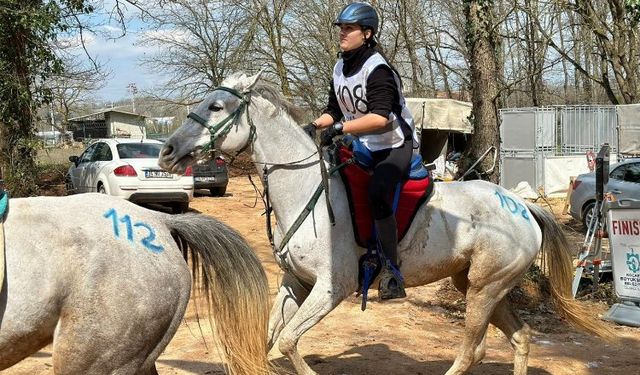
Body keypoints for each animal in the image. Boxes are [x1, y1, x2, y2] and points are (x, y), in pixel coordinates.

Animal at [158, 71, 612, 375]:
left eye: (216, 107)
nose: (167, 152)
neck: (307, 190)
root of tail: (521, 206)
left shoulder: (331, 289)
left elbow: (287, 341)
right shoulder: (295, 284)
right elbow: (270, 337)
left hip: (485, 289)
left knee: (472, 351)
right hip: (481, 286)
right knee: (519, 338)